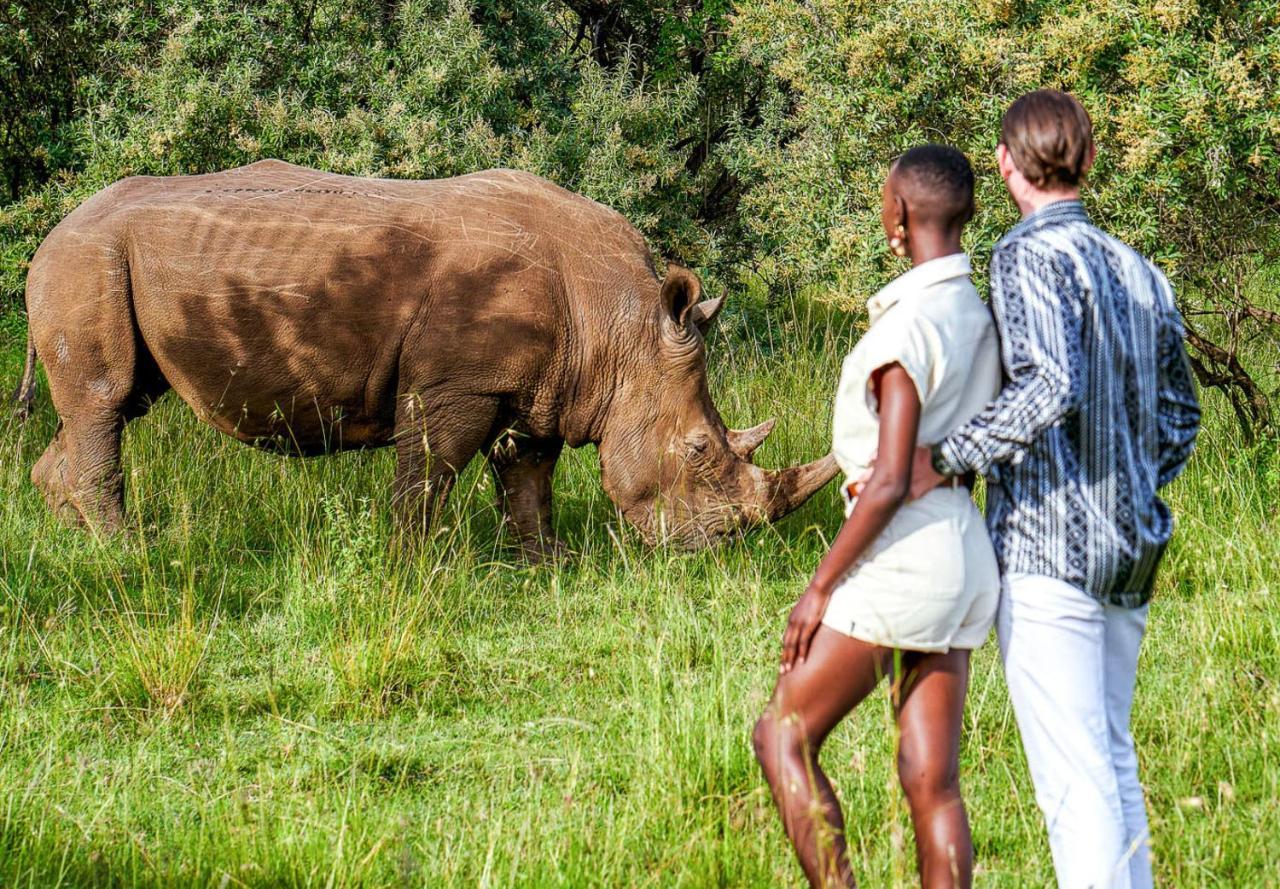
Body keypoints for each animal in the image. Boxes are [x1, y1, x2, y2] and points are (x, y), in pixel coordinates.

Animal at [17, 156, 839, 552]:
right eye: (698, 448)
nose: (714, 547)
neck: (620, 327)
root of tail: (52, 230)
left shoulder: (541, 386)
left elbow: (528, 478)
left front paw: (549, 566)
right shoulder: (455, 387)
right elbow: (429, 477)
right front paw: (414, 568)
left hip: (104, 261)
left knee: (116, 402)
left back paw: (76, 542)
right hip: (89, 258)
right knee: (104, 401)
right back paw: (131, 554)